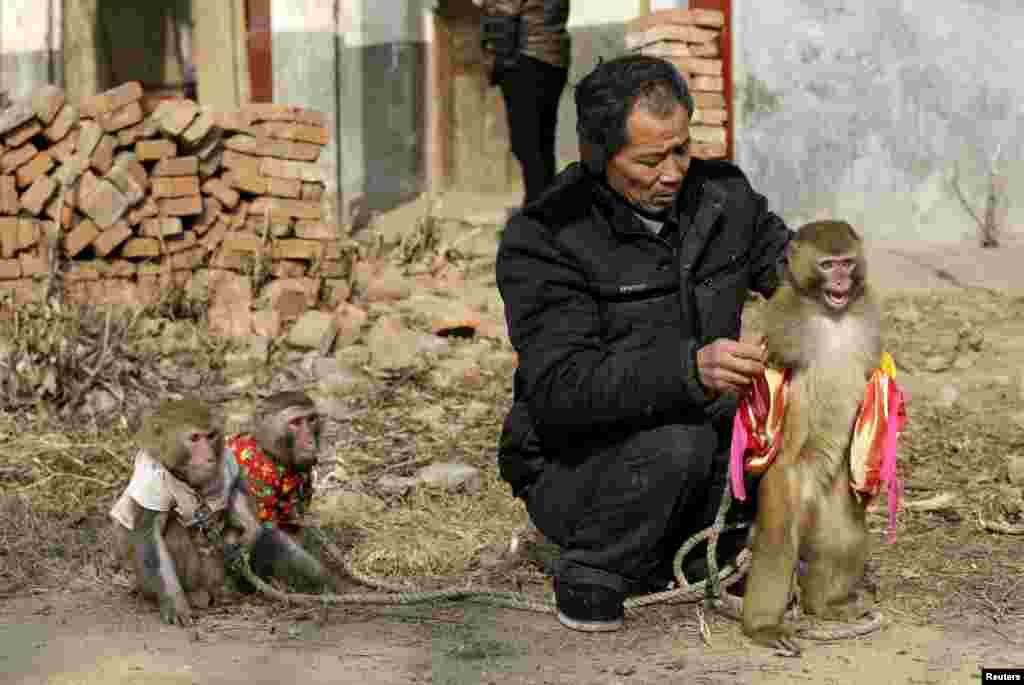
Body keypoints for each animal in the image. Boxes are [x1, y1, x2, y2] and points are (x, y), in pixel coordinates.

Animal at [111, 395, 335, 626]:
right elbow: (150, 534)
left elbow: (240, 502)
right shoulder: (151, 481)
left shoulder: (228, 462)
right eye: (194, 438)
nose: (209, 457)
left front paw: (244, 539)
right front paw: (175, 603)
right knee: (176, 530)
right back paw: (198, 594)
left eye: (210, 436)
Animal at [741, 222, 884, 655]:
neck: (829, 313)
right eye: (826, 265)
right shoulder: (781, 321)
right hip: (788, 480)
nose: (840, 281)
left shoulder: (866, 316)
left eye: (846, 262)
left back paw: (826, 605)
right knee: (778, 542)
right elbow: (764, 375)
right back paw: (763, 626)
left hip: (836, 489)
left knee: (844, 535)